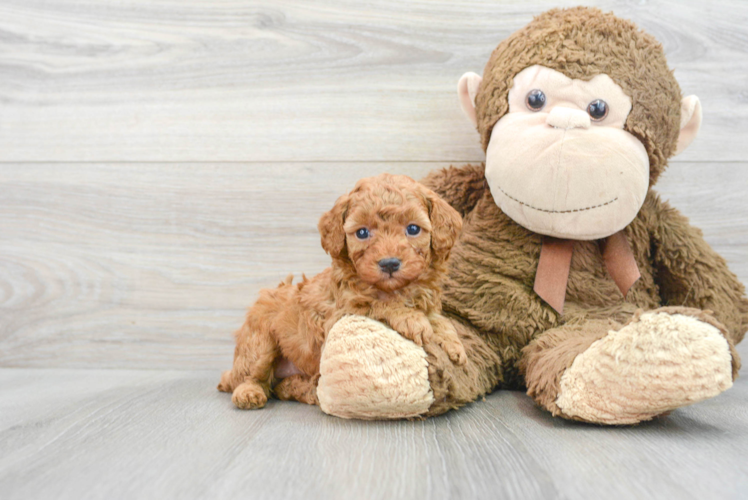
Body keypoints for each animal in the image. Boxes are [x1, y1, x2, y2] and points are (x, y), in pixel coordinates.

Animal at [213, 173, 464, 410]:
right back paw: (249, 393)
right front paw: (413, 319)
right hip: (259, 341)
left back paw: (305, 390)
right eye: (362, 233)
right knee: (249, 375)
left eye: (413, 229)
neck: (395, 289)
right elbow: (377, 304)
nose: (389, 264)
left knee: (282, 387)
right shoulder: (340, 313)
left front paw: (453, 342)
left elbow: (439, 319)